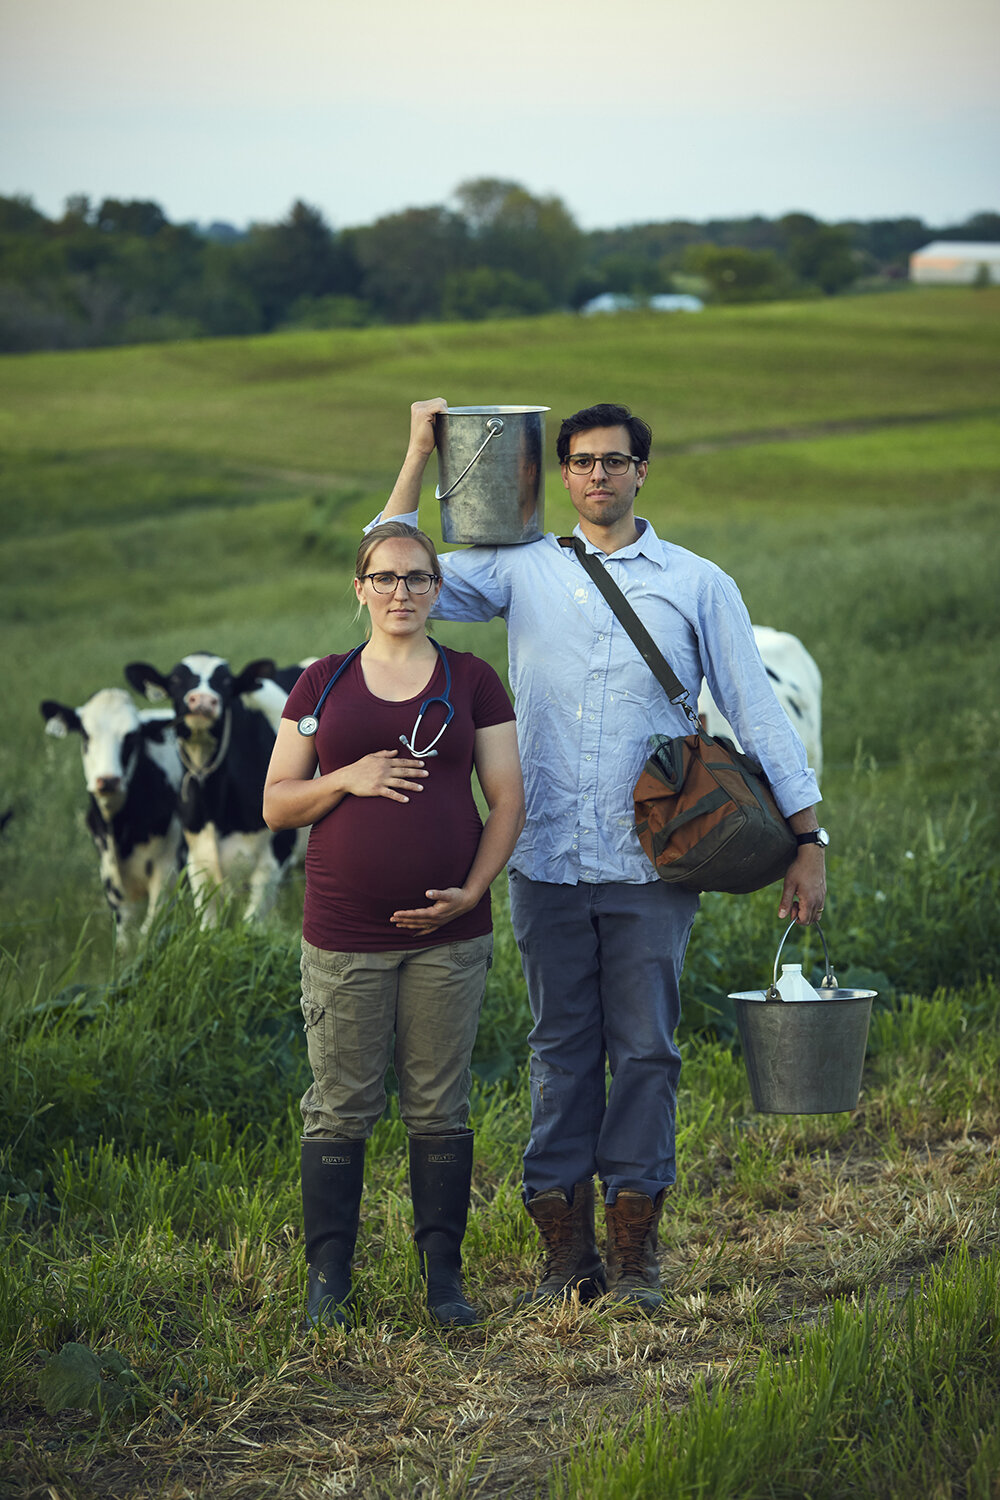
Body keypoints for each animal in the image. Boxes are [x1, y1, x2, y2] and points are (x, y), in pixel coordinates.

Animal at [40, 687, 185, 942]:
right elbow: (124, 939)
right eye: (85, 735)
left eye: (132, 736)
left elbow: (149, 933)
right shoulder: (111, 879)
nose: (107, 780)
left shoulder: (167, 870)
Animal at [125, 657, 305, 924]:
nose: (201, 700)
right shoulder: (198, 860)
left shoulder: (274, 857)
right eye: (176, 680)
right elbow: (207, 925)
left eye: (226, 681)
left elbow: (251, 925)